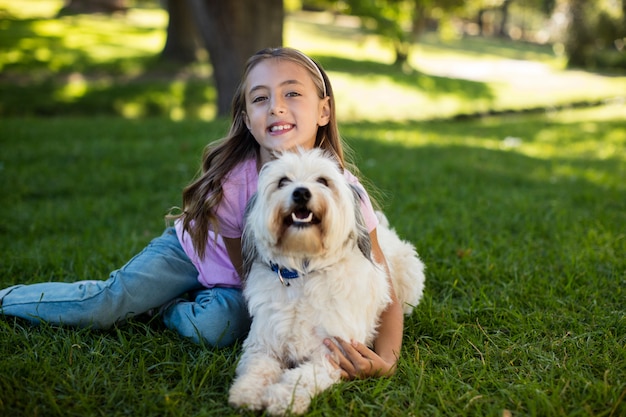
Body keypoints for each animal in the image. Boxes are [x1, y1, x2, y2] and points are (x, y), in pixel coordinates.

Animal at [229, 149, 424, 412]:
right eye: (283, 181)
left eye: (323, 181)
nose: (301, 193)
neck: (305, 271)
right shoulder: (263, 344)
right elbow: (256, 369)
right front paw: (247, 392)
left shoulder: (332, 354)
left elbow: (300, 379)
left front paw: (283, 400)